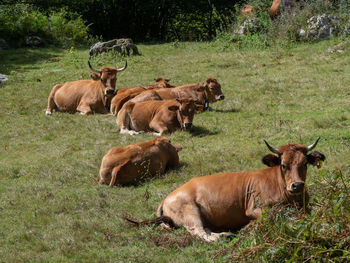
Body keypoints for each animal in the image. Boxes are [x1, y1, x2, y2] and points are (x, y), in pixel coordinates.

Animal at [126, 138, 326, 243]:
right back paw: (224, 235)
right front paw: (247, 227)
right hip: (191, 212)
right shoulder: (254, 209)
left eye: (304, 163)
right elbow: (272, 216)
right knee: (199, 232)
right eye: (283, 165)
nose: (297, 185)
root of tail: (167, 197)